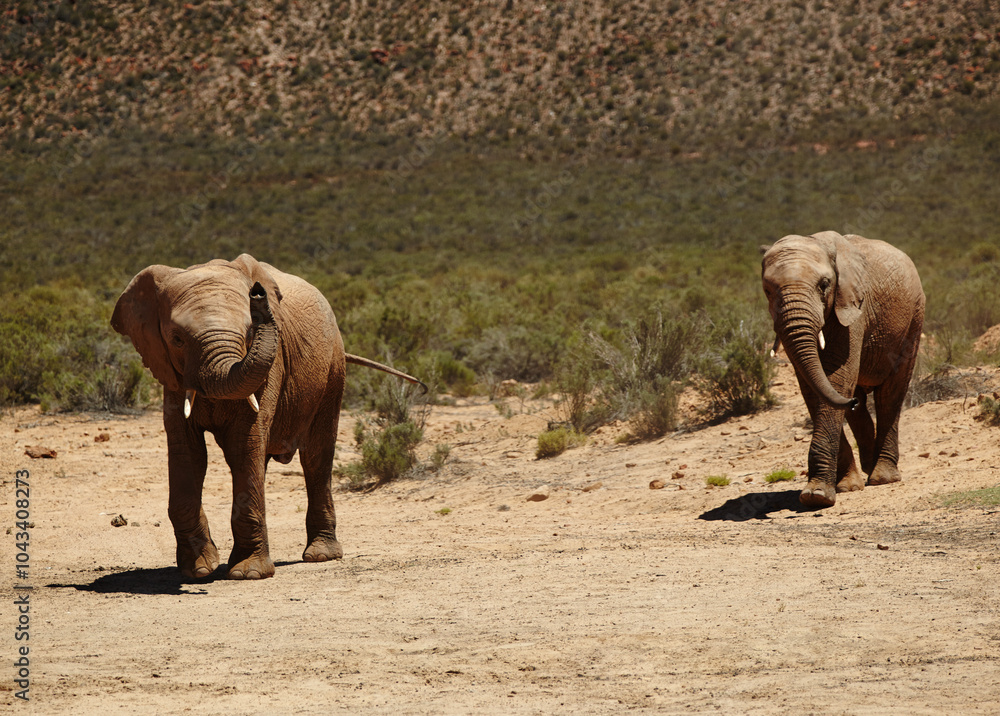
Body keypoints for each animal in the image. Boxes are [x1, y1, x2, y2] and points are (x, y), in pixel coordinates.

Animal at [111, 254, 424, 580]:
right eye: (177, 339)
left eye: (249, 331)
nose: (258, 295)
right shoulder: (171, 375)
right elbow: (188, 452)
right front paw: (198, 570)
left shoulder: (272, 367)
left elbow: (245, 441)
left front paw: (248, 574)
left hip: (333, 368)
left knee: (315, 455)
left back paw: (321, 555)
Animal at [761, 231, 924, 508]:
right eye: (767, 290)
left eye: (824, 285)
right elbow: (813, 387)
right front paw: (841, 489)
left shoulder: (852, 309)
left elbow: (837, 377)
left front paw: (816, 496)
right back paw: (868, 465)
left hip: (914, 316)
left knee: (890, 393)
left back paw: (882, 477)